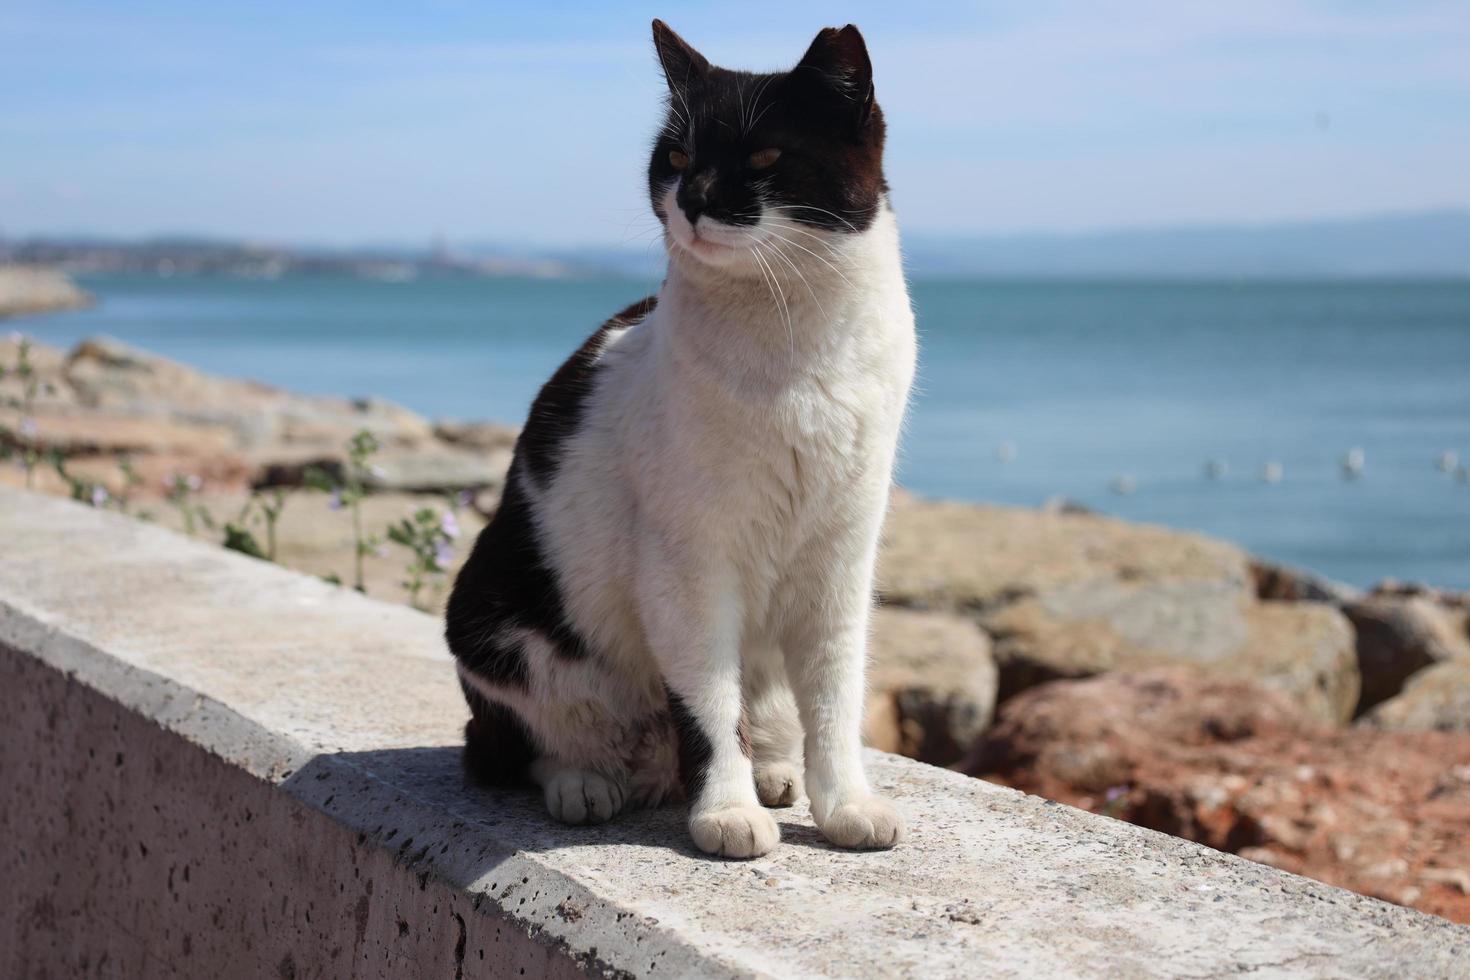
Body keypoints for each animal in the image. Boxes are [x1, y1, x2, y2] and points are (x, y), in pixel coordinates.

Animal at [441, 17, 911, 858]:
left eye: (764, 159)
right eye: (680, 158)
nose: (692, 200)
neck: (794, 342)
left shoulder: (842, 557)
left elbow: (835, 699)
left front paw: (845, 803)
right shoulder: (688, 565)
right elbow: (709, 703)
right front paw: (724, 811)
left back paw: (773, 772)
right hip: (495, 621)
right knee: (512, 744)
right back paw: (585, 781)